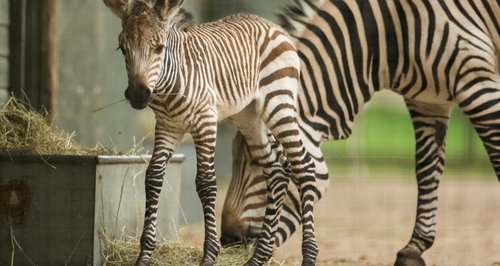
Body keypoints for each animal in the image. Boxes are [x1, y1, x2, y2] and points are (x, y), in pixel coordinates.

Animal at [103, 0, 318, 264]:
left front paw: (209, 255)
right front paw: (144, 255)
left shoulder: (205, 122)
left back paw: (309, 256)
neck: (168, 88)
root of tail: (270, 24)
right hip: (249, 117)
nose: (138, 95)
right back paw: (257, 257)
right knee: (277, 171)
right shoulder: (167, 126)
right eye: (122, 49)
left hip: (278, 104)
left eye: (160, 48)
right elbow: (153, 178)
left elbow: (205, 183)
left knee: (304, 166)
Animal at [223, 1, 500, 264]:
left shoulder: (476, 83)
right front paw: (413, 249)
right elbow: (426, 169)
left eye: (263, 163)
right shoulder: (427, 100)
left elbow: (496, 156)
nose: (228, 238)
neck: (386, 33)